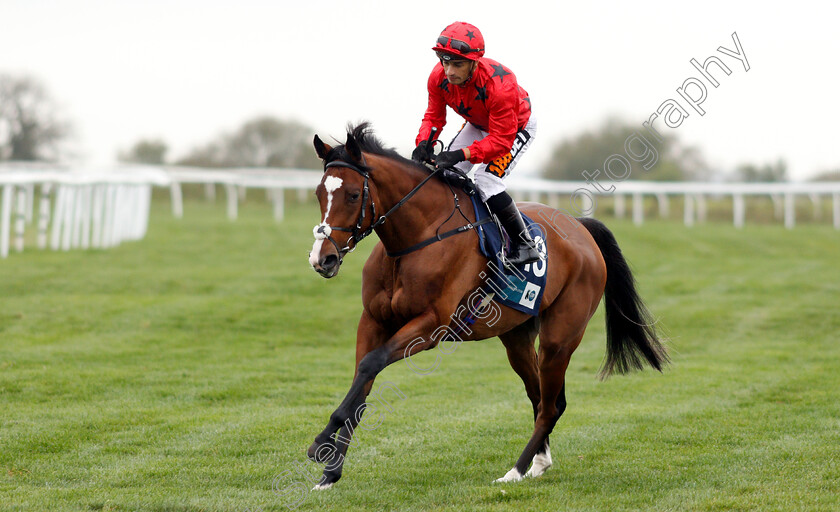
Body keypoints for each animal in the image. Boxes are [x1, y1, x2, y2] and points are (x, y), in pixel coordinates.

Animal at [306, 122, 668, 486]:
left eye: (354, 195)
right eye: (319, 194)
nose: (323, 259)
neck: (418, 237)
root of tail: (582, 228)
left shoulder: (431, 325)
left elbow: (371, 364)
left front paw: (321, 441)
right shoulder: (373, 321)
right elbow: (362, 382)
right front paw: (331, 472)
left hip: (560, 339)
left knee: (550, 406)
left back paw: (515, 470)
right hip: (517, 338)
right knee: (541, 397)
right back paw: (539, 463)